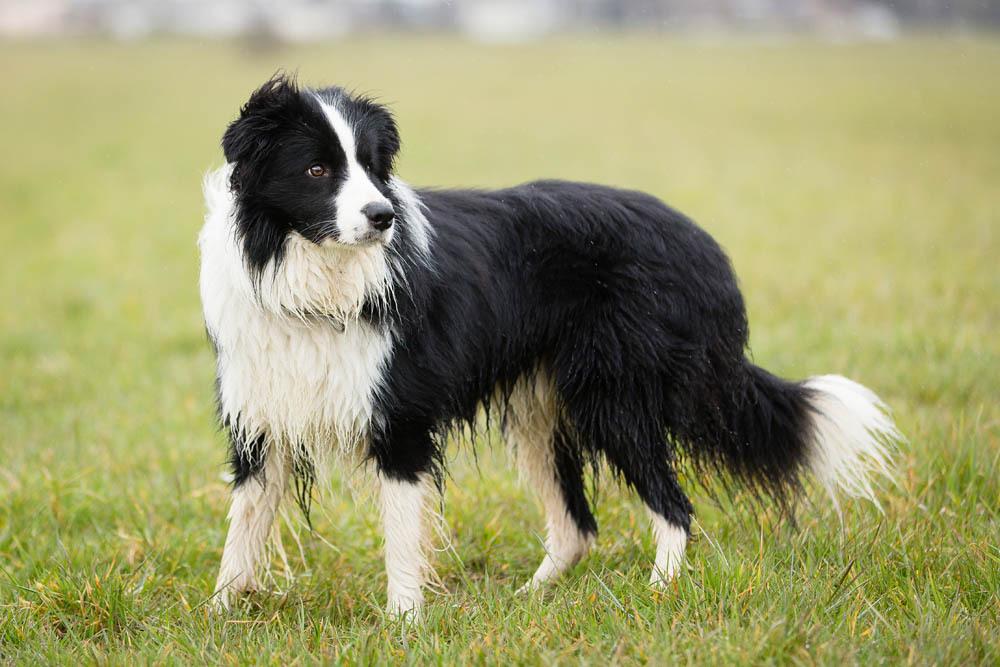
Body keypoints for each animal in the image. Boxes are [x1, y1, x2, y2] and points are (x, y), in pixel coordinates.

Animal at [199, 75, 904, 620]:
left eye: (374, 168)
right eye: (317, 169)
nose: (383, 217)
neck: (313, 273)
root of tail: (699, 242)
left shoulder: (400, 419)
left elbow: (401, 535)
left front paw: (403, 622)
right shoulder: (261, 415)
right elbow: (243, 527)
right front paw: (219, 615)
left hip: (615, 396)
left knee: (673, 506)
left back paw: (659, 592)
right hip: (541, 408)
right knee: (576, 527)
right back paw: (529, 599)